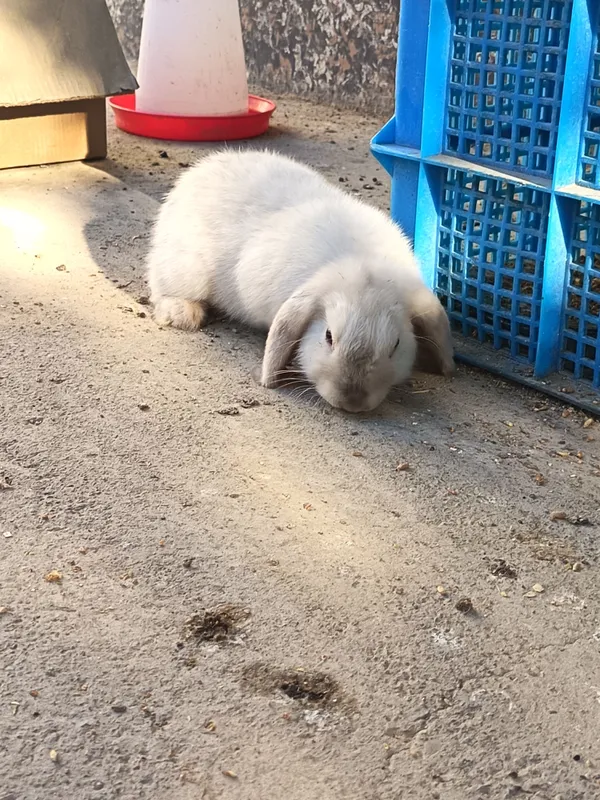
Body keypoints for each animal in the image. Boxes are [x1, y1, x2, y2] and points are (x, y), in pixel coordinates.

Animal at [146, 149, 453, 413]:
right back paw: (183, 314)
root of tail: (194, 174)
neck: (364, 261)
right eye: (328, 336)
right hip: (185, 271)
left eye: (396, 345)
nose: (351, 401)